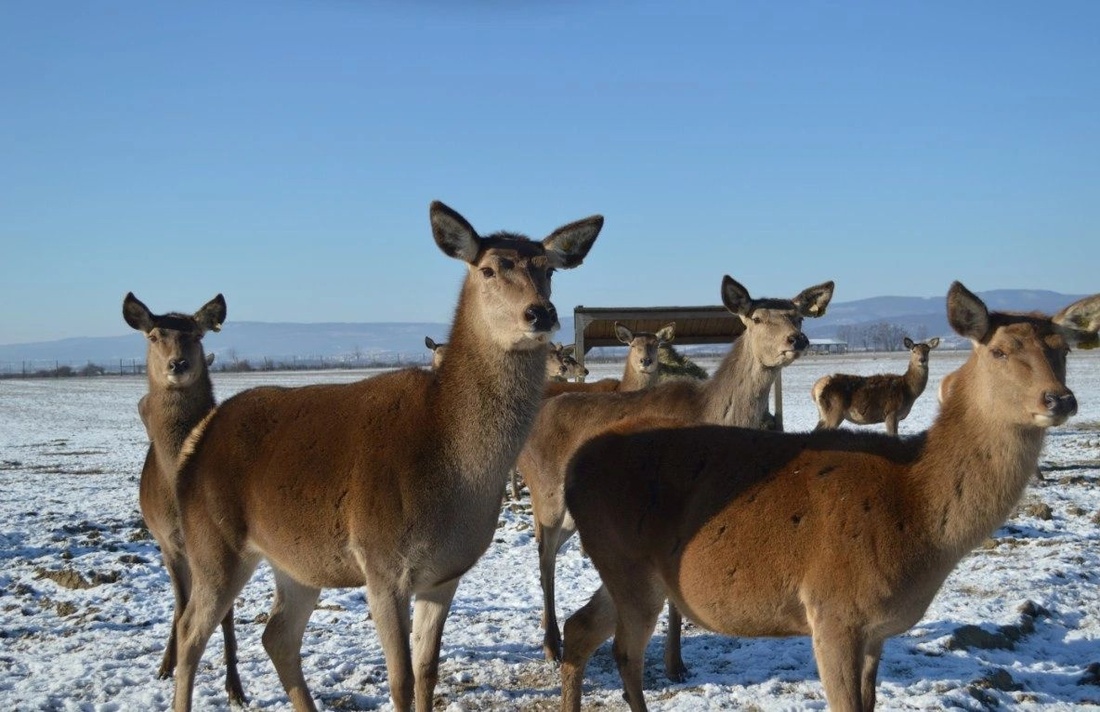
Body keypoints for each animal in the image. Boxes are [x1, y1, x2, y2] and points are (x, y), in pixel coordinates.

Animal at [121, 292, 244, 704]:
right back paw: (166, 663)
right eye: (154, 335)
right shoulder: (167, 541)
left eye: (196, 334)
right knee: (180, 603)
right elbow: (180, 604)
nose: (178, 364)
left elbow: (224, 612)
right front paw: (168, 665)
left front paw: (235, 687)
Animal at [168, 202, 602, 712]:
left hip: (296, 561)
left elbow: (428, 671)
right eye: (489, 269)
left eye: (547, 269)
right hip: (213, 544)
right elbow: (401, 680)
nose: (540, 312)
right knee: (190, 632)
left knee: (277, 635)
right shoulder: (380, 565)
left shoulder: (444, 575)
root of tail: (198, 439)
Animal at [514, 276, 831, 677]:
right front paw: (673, 664)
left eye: (798, 316)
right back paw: (551, 646)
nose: (796, 339)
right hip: (546, 495)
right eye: (757, 318)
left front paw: (676, 662)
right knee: (544, 555)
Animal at [558, 281, 1100, 712]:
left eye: (1065, 350)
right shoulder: (833, 610)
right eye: (1000, 351)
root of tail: (573, 467)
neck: (917, 512)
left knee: (580, 628)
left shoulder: (876, 631)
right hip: (627, 563)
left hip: (627, 571)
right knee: (623, 653)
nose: (1060, 399)